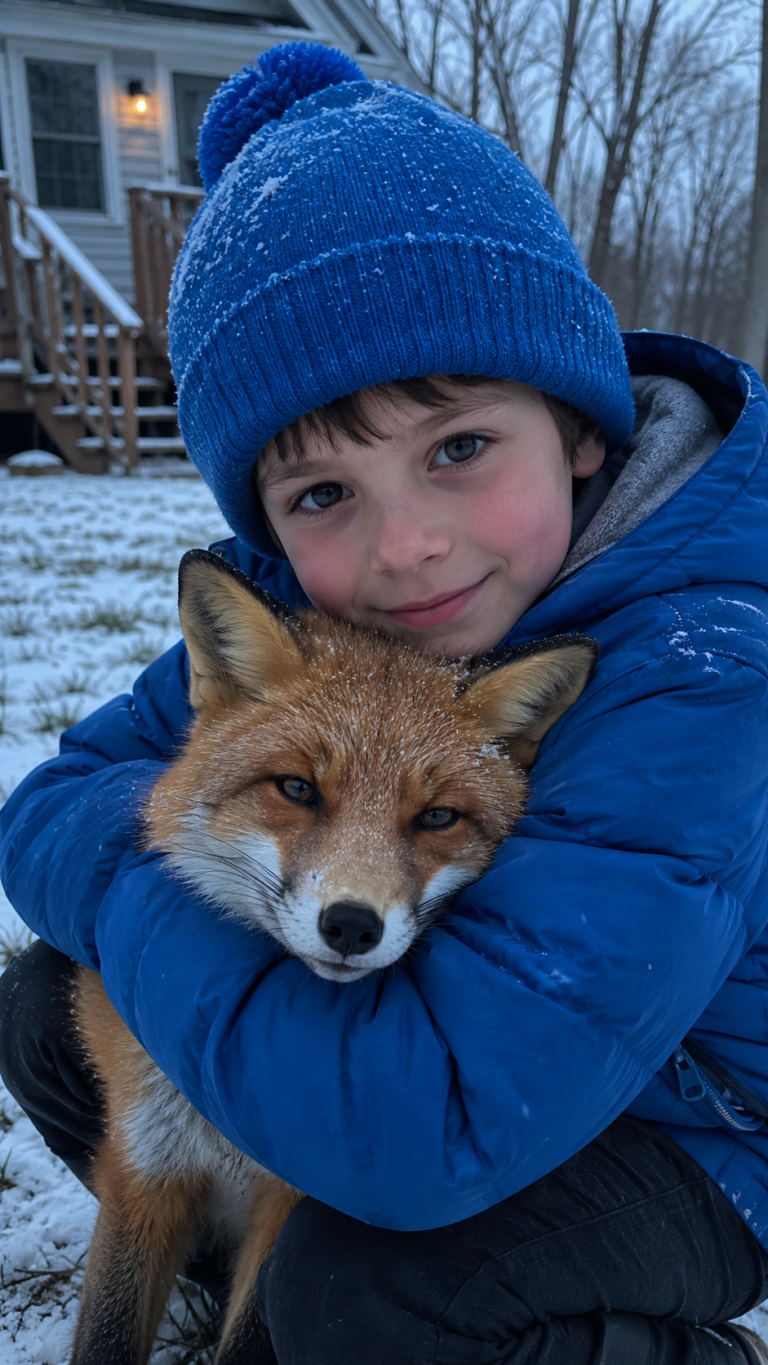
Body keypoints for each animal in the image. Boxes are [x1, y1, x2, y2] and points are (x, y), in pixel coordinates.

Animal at [70, 547, 598, 1365]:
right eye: (296, 788)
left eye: (436, 817)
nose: (352, 925)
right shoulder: (145, 1166)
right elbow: (106, 1331)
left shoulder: (298, 1198)